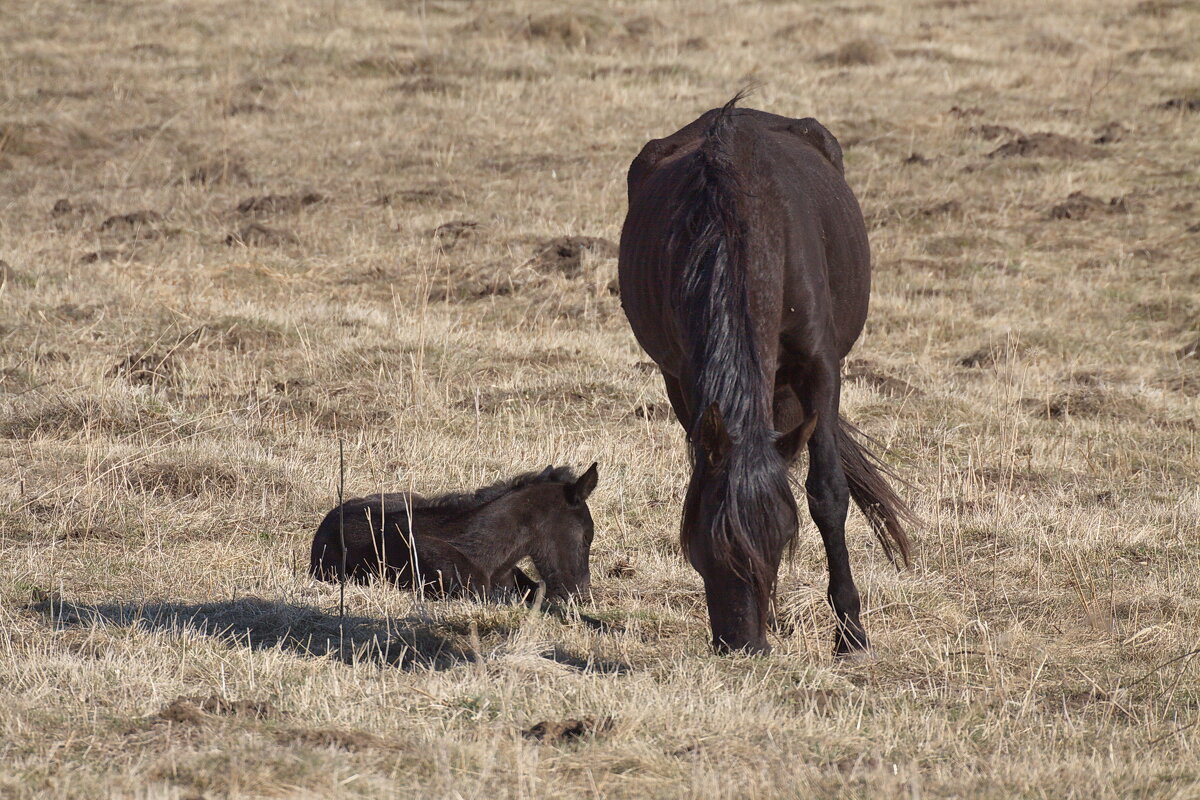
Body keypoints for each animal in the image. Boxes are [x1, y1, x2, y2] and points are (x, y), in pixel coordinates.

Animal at [614, 97, 912, 652]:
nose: (742, 644)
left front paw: (851, 633)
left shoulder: (820, 369)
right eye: (702, 545)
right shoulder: (683, 378)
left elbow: (826, 493)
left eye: (778, 542)